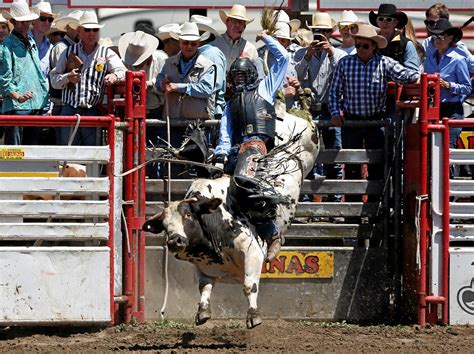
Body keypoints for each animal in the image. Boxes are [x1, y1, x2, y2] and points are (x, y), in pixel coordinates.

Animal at [141, 105, 318, 330]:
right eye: (164, 225)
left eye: (188, 215)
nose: (174, 241)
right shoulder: (204, 267)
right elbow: (204, 287)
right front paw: (202, 313)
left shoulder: (253, 254)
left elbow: (249, 286)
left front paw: (253, 316)